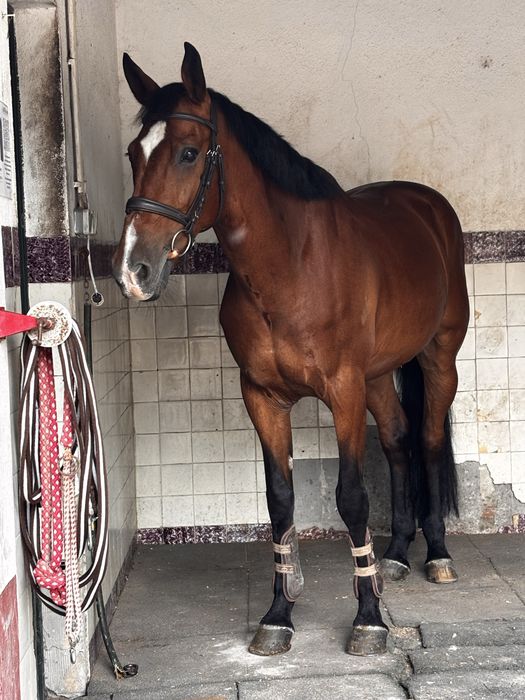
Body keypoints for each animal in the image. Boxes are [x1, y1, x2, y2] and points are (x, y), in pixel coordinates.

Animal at [113, 43, 469, 657]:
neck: (291, 266)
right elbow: (279, 499)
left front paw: (369, 620)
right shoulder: (262, 395)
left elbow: (351, 497)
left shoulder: (343, 390)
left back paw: (438, 556)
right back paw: (397, 554)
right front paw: (279, 614)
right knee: (398, 442)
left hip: (437, 356)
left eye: (188, 152)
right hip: (379, 375)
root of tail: (427, 205)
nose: (134, 271)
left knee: (425, 439)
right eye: (135, 153)